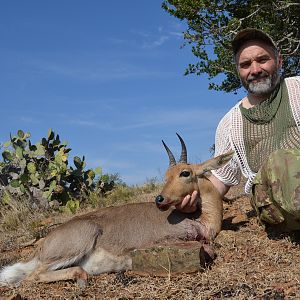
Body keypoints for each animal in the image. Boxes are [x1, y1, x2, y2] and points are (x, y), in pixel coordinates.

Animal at [0, 134, 234, 286]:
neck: (202, 220)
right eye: (167, 175)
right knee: (32, 276)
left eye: (185, 173)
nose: (160, 199)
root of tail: (42, 246)